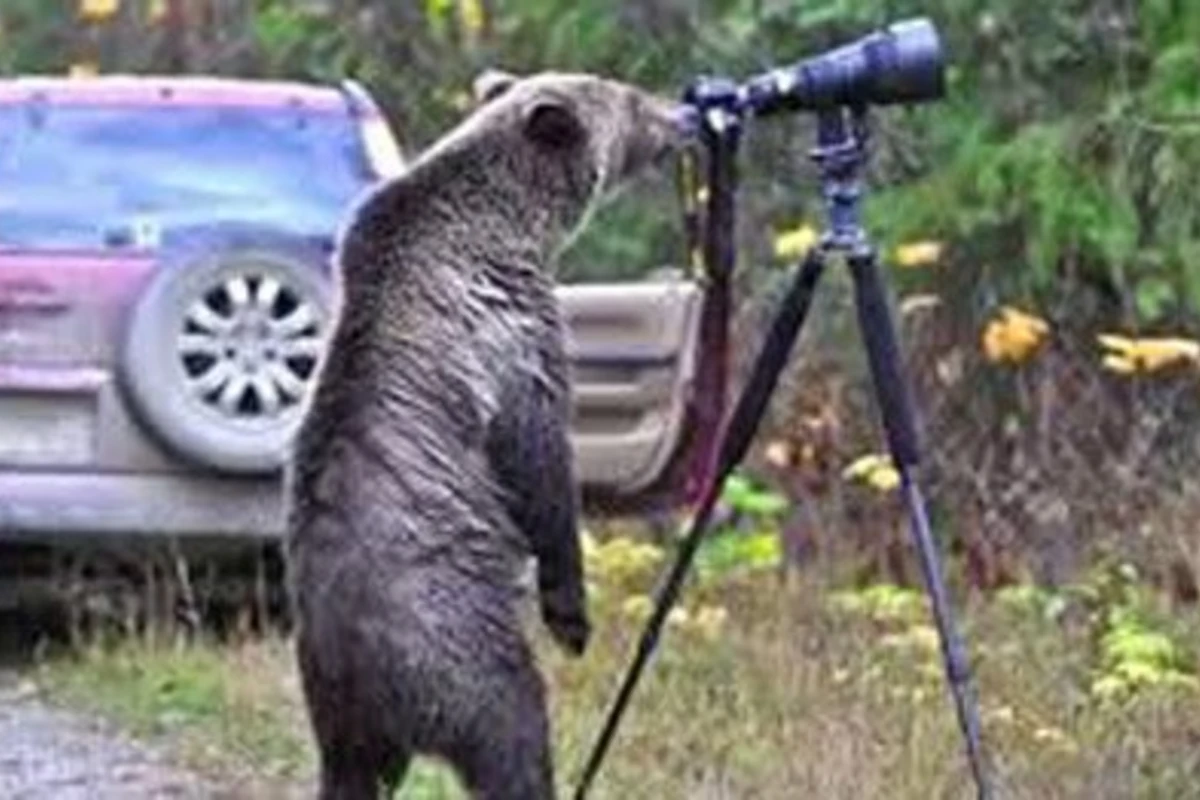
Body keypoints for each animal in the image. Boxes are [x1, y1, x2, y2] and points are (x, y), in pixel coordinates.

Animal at [284, 69, 685, 800]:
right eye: (632, 101)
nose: (683, 114)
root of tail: (352, 660)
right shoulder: (509, 332)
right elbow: (541, 461)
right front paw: (571, 614)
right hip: (453, 640)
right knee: (512, 729)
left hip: (333, 702)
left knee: (351, 770)